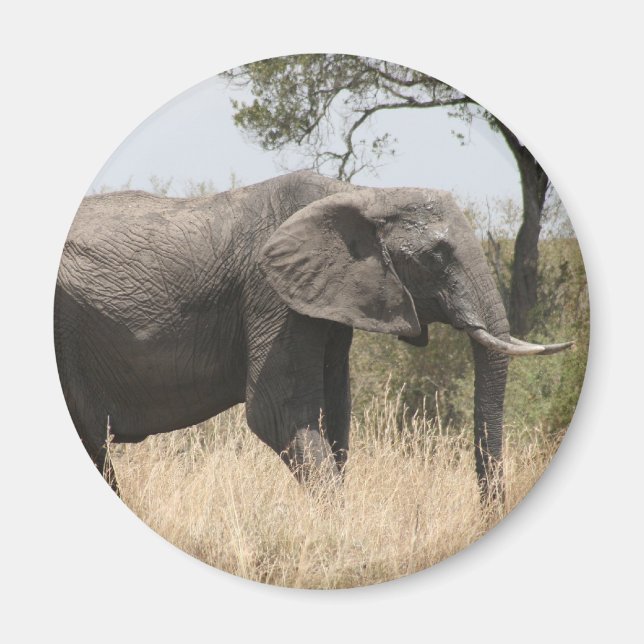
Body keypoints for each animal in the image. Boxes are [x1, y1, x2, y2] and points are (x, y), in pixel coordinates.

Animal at [54, 170, 572, 501]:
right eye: (436, 256)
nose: (486, 512)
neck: (362, 194)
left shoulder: (327, 302)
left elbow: (335, 414)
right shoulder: (272, 296)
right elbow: (278, 415)